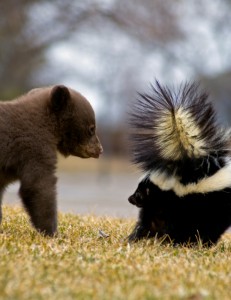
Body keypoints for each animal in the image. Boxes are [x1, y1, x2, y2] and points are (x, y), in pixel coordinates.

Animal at [127, 80, 231, 246]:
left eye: (140, 193)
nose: (130, 198)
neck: (170, 189)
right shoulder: (155, 209)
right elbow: (148, 223)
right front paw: (134, 237)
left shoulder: (180, 207)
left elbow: (176, 227)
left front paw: (170, 241)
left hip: (217, 208)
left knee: (213, 227)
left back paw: (205, 242)